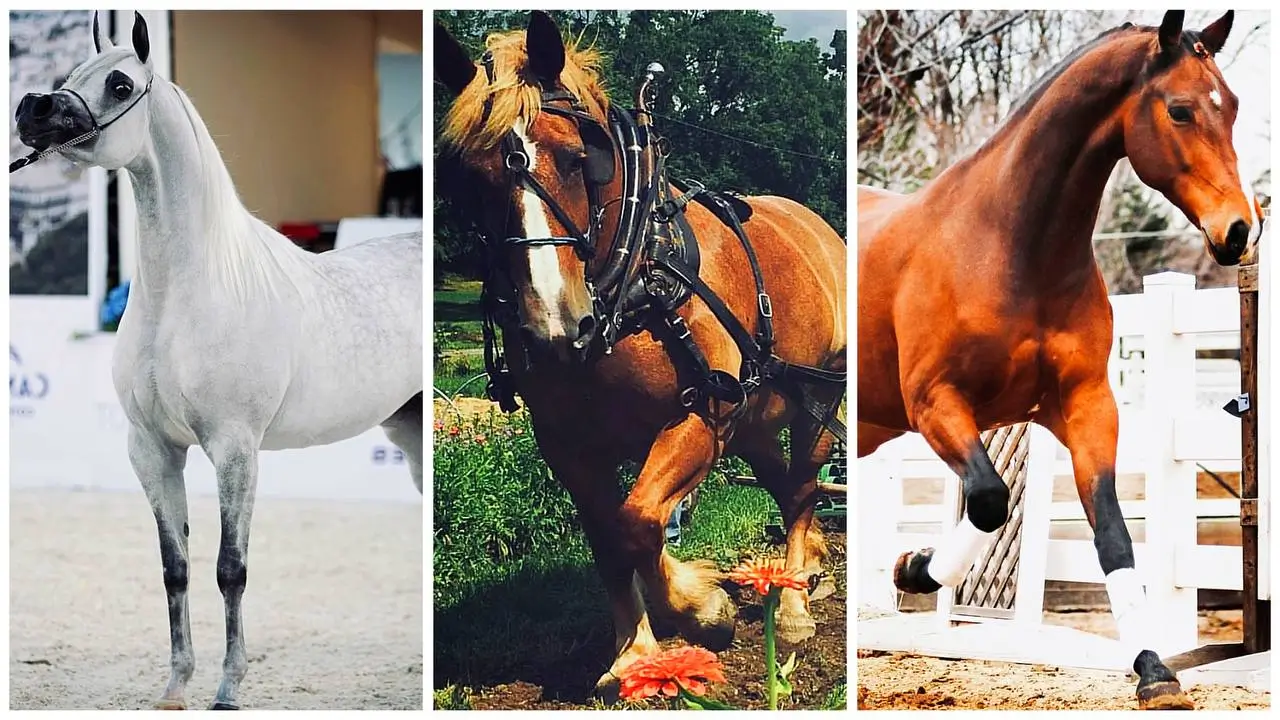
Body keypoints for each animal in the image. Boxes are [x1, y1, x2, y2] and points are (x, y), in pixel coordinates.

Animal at [15, 9, 422, 707]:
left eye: (120, 85)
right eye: (70, 74)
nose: (32, 110)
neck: (189, 291)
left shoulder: (235, 448)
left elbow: (231, 569)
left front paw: (229, 686)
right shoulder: (151, 449)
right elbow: (174, 567)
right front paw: (176, 685)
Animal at [435, 9, 844, 696]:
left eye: (579, 159)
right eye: (471, 177)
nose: (554, 327)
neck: (633, 279)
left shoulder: (702, 414)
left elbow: (640, 521)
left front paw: (703, 609)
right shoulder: (567, 441)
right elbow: (610, 536)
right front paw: (635, 654)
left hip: (816, 399)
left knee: (806, 489)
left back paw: (791, 606)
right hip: (755, 422)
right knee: (787, 488)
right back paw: (804, 575)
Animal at [855, 9, 1264, 707]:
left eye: (1232, 106)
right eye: (1180, 110)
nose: (1239, 230)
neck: (1011, 245)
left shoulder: (1085, 405)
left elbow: (1113, 533)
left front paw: (1154, 671)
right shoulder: (936, 404)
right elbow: (989, 501)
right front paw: (915, 569)